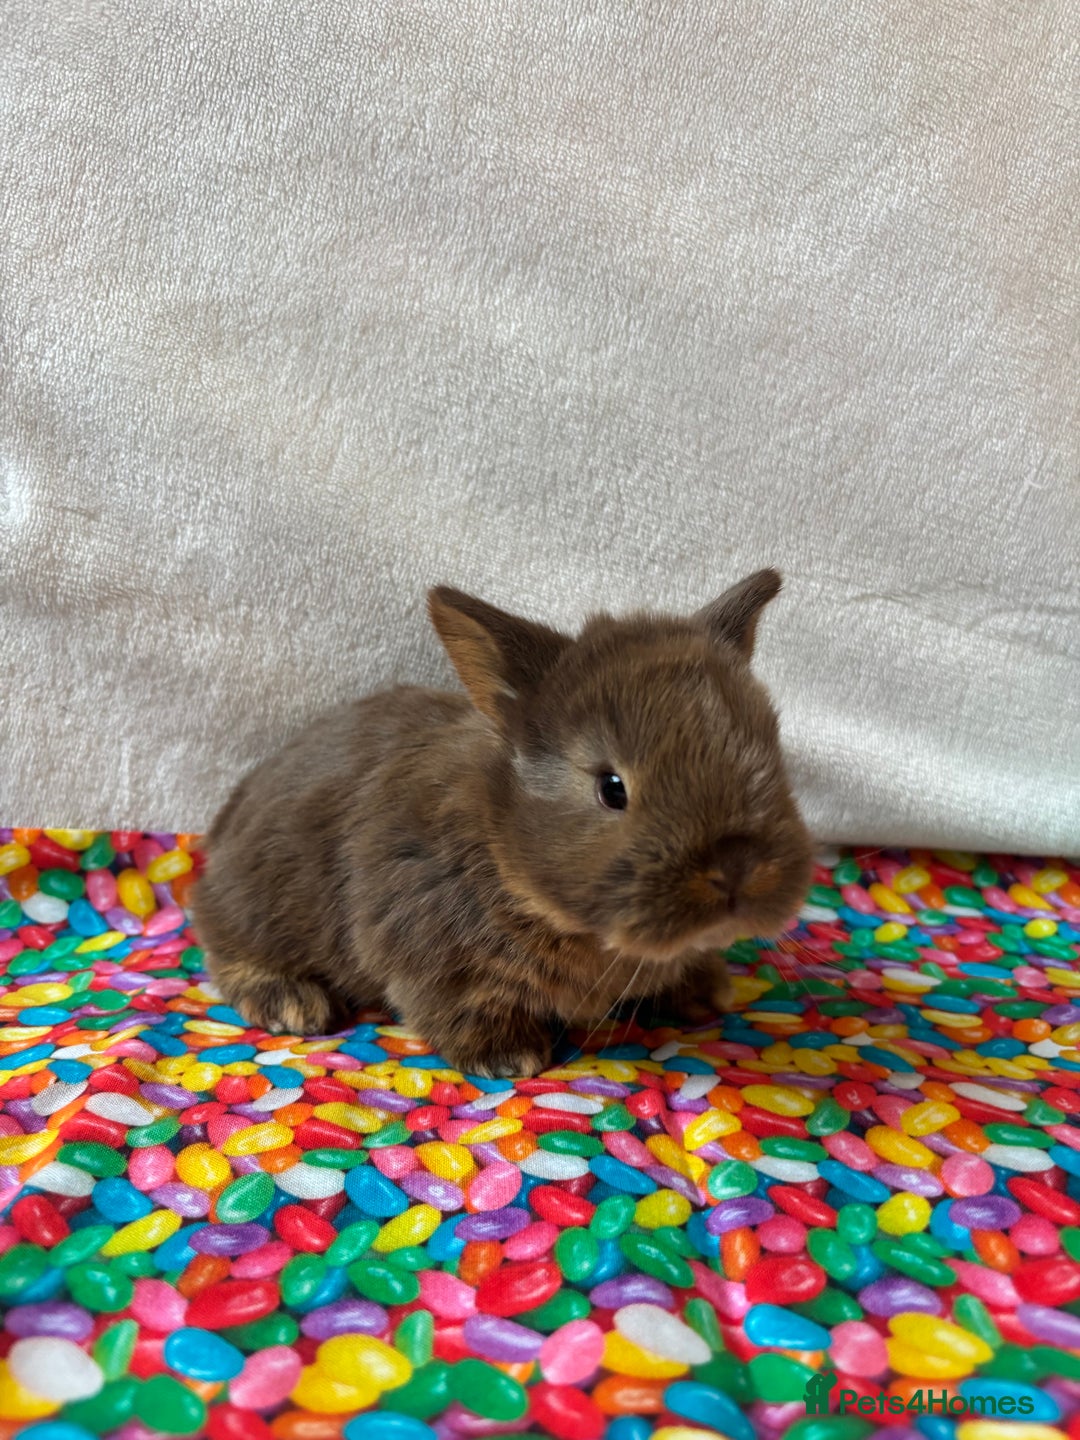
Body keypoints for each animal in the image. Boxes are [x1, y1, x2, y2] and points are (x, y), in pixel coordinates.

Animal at [191, 569, 813, 1078]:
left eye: (770, 753)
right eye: (612, 788)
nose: (737, 868)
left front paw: (709, 993)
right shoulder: (434, 961)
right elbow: (462, 1009)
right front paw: (510, 1057)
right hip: (255, 905)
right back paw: (292, 1002)